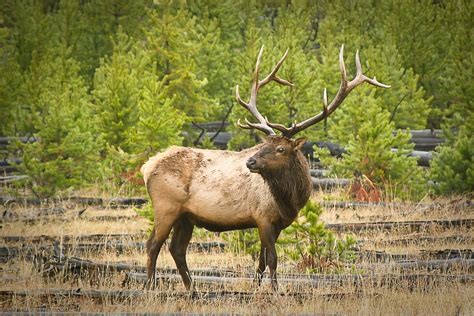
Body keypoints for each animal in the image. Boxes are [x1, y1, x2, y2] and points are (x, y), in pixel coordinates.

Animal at [142, 45, 388, 292]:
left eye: (280, 148)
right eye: (264, 145)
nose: (250, 162)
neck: (290, 199)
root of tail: (147, 167)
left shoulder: (277, 224)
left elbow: (261, 259)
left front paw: (256, 287)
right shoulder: (263, 217)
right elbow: (273, 258)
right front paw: (275, 290)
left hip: (186, 217)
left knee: (177, 249)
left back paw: (192, 289)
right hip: (166, 206)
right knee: (153, 244)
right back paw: (150, 287)